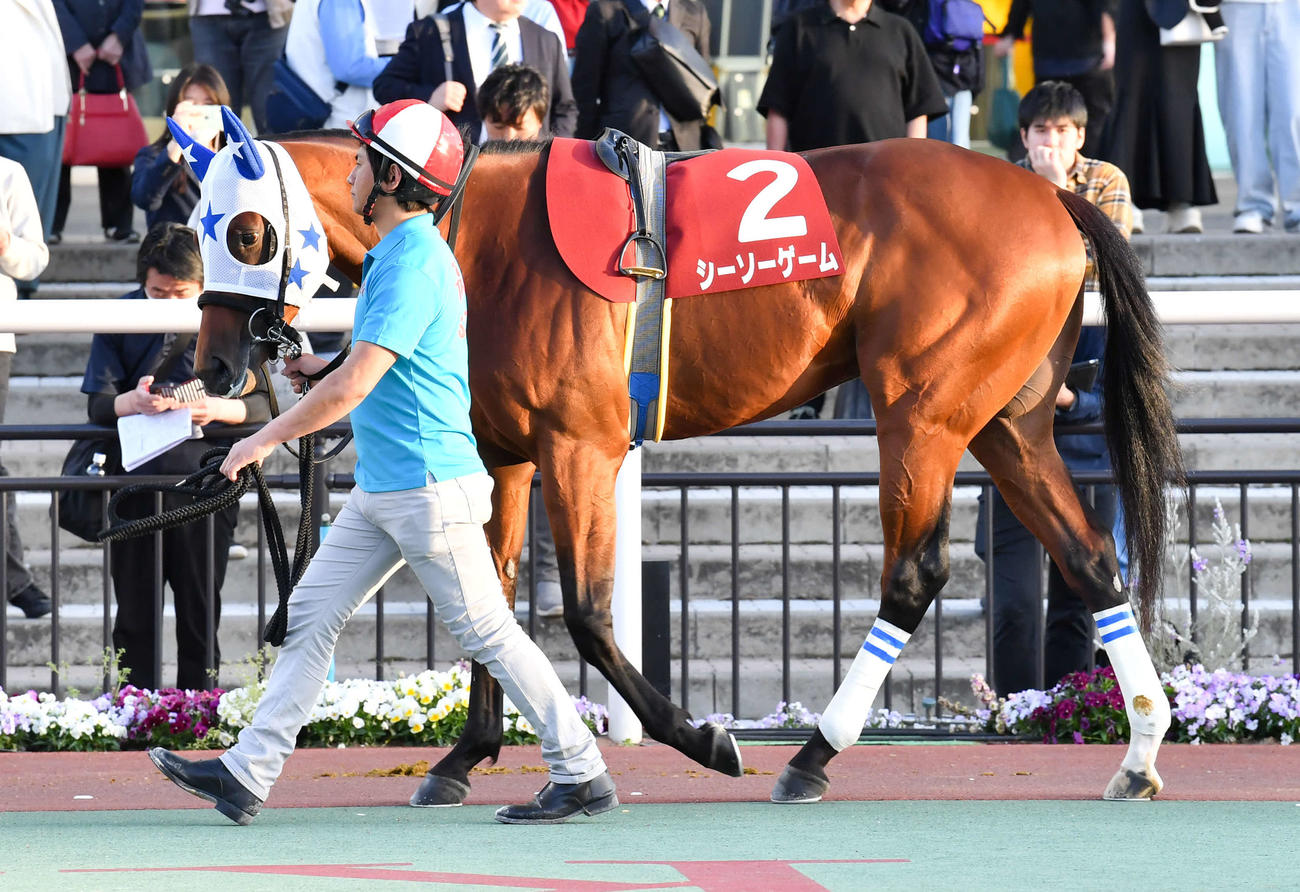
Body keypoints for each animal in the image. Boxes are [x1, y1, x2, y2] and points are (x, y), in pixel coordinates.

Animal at [187, 121, 1182, 805]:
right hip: (1010, 423)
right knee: (1089, 558)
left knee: (915, 572)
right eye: (196, 225)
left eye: (246, 232)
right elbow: (490, 604)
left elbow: (585, 615)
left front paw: (702, 739)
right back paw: (1140, 751)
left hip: (923, 413)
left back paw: (814, 753)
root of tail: (1051, 198)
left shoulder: (580, 445)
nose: (215, 366)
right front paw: (465, 758)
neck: (471, 232)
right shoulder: (504, 453)